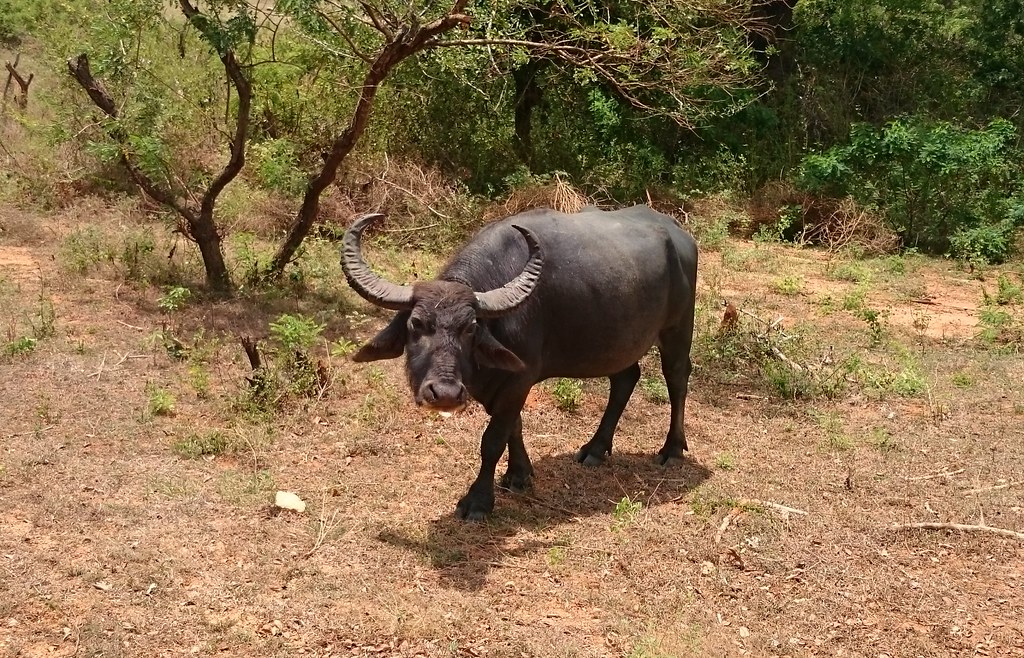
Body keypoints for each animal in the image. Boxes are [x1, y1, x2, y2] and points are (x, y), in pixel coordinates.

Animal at [341, 205, 698, 520]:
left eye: (471, 328)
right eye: (415, 325)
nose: (444, 394)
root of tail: (681, 237)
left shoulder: (518, 381)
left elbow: (493, 440)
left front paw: (478, 501)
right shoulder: (509, 384)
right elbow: (515, 426)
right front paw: (519, 474)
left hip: (678, 329)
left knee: (677, 378)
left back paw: (672, 449)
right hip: (619, 344)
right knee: (625, 379)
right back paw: (595, 449)